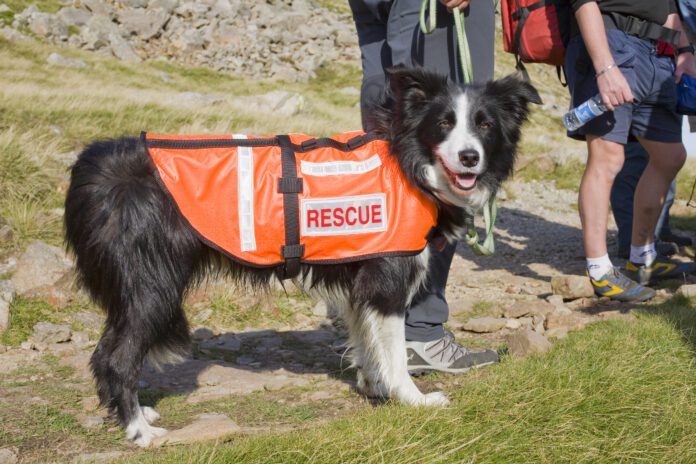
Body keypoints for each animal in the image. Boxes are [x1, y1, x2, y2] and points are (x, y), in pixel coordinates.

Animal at [64, 68, 540, 446]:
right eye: (444, 123)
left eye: (484, 124)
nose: (469, 157)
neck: (409, 165)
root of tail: (92, 162)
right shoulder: (387, 280)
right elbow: (396, 352)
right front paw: (413, 399)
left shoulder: (357, 282)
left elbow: (366, 343)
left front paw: (373, 387)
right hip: (153, 284)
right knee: (118, 357)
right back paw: (139, 431)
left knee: (105, 352)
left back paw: (133, 412)